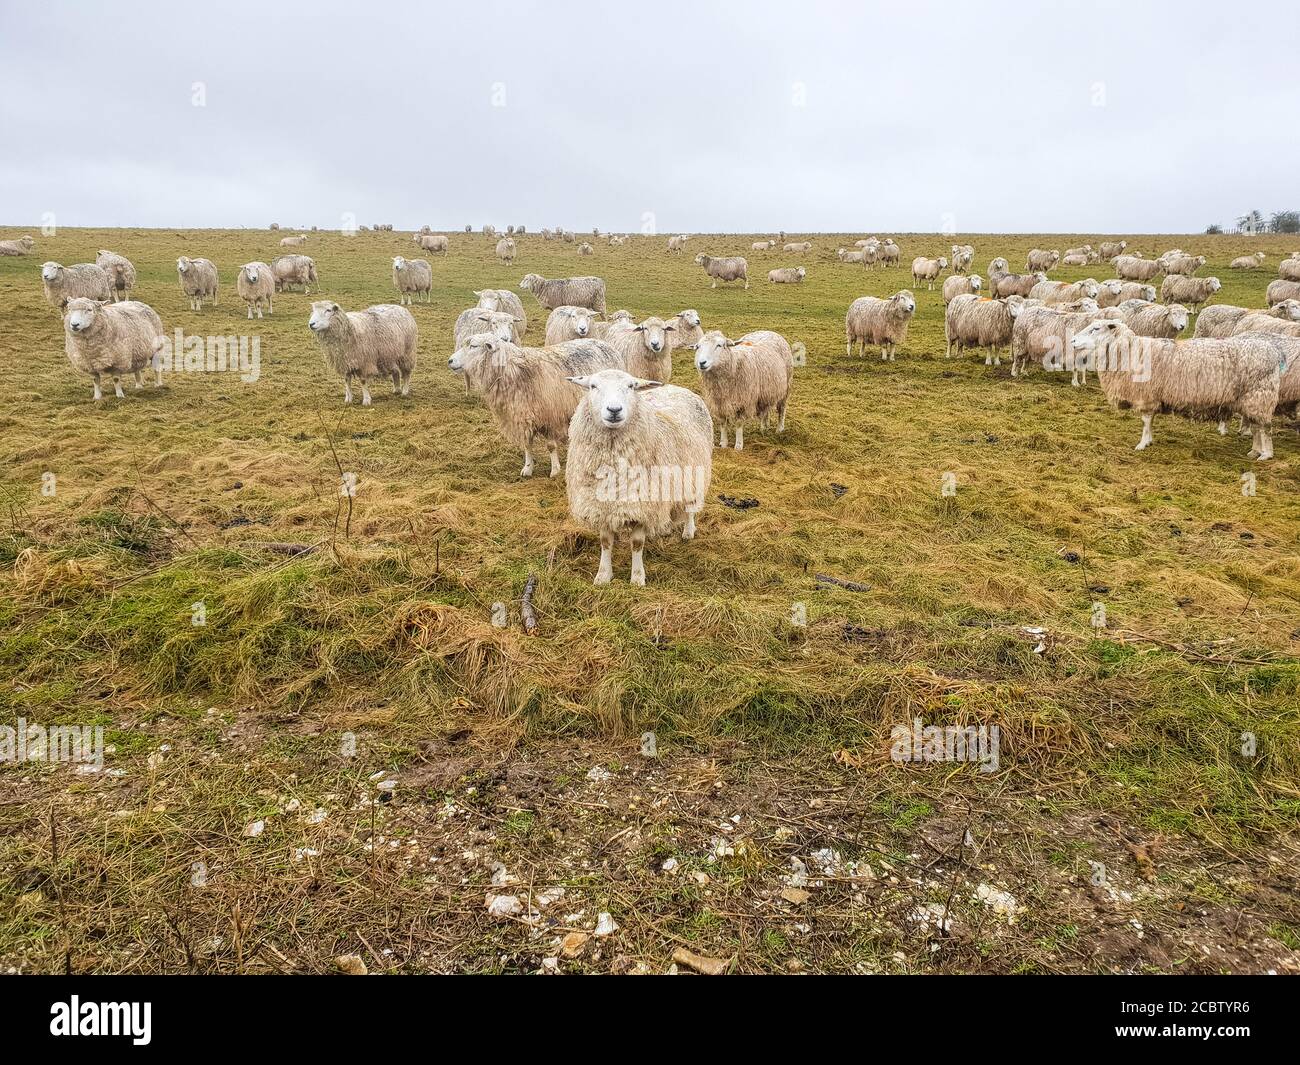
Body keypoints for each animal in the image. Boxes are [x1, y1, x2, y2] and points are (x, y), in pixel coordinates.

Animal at [449, 338, 626, 478]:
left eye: (473, 346)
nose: (450, 361)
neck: (515, 372)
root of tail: (605, 343)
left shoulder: (551, 417)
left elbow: (550, 446)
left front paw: (555, 471)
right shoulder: (523, 417)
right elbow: (527, 445)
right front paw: (527, 469)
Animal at [566, 366, 717, 582]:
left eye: (631, 386)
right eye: (593, 386)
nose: (614, 410)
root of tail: (676, 387)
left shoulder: (642, 505)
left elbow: (637, 544)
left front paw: (637, 578)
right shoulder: (600, 505)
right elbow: (605, 542)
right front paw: (603, 575)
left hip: (694, 475)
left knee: (690, 507)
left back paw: (688, 531)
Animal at [1071, 321, 1284, 462]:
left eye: (1095, 329)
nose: (1072, 340)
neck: (1129, 352)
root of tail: (1273, 352)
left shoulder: (1146, 396)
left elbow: (1146, 421)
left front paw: (1142, 444)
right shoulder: (1153, 396)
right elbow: (1150, 421)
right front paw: (1149, 440)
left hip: (1260, 396)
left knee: (1265, 428)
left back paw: (1266, 454)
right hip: (1253, 400)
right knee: (1256, 427)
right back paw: (1255, 451)